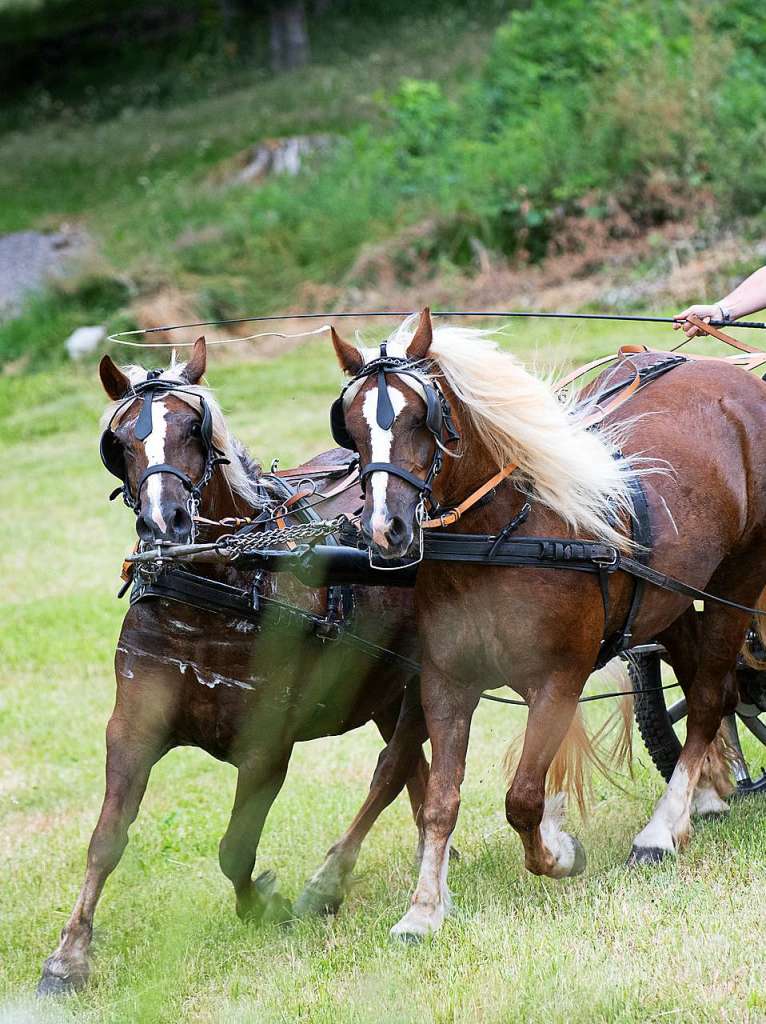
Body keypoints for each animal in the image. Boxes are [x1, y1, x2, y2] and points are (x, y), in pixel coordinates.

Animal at [38, 342, 430, 991]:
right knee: (414, 770)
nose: (164, 522)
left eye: (192, 427)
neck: (215, 589)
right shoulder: (132, 727)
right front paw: (69, 957)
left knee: (393, 769)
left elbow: (235, 847)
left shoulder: (267, 744)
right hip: (381, 687)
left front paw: (264, 903)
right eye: (118, 442)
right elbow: (106, 840)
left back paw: (332, 882)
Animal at [331, 307, 766, 937]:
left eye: (421, 417)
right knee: (709, 689)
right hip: (673, 598)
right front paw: (424, 908)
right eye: (351, 426)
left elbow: (523, 799)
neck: (501, 539)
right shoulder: (446, 682)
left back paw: (661, 830)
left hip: (737, 580)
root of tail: (738, 382)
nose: (386, 530)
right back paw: (704, 799)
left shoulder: (558, 682)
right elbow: (440, 799)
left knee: (712, 696)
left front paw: (557, 851)